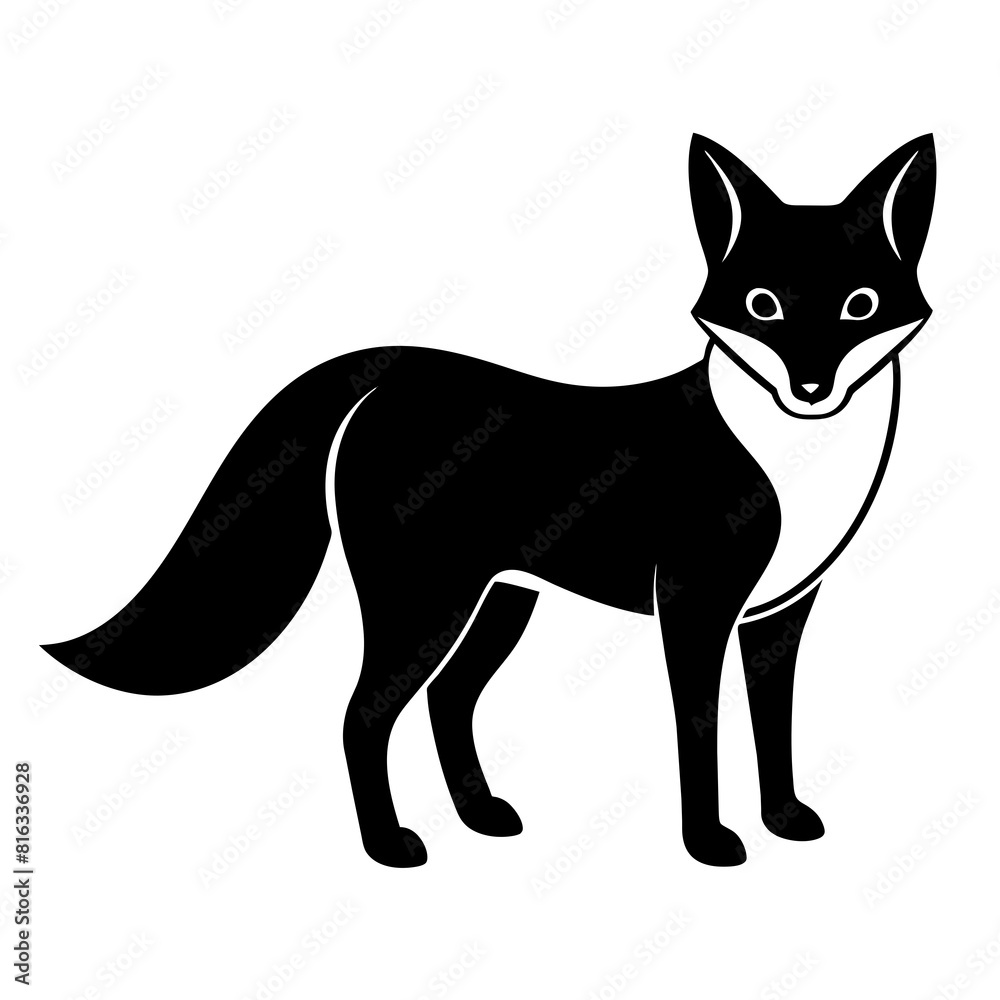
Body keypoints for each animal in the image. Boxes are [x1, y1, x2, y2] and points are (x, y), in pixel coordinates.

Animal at [43, 133, 936, 868]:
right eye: (764, 306)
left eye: (859, 306)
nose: (811, 388)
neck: (794, 461)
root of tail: (396, 371)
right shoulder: (693, 604)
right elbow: (701, 733)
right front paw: (710, 843)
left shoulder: (780, 612)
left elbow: (774, 728)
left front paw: (784, 819)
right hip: (427, 602)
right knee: (363, 714)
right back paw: (390, 847)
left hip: (498, 600)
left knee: (446, 699)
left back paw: (480, 816)